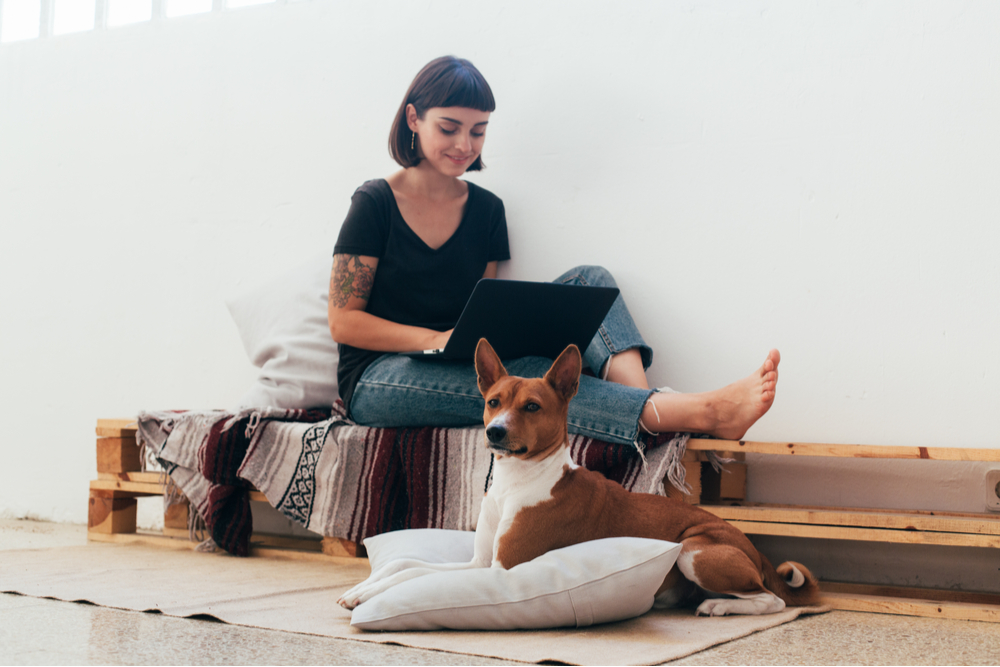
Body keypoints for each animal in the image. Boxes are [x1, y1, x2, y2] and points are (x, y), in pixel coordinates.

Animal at [338, 340, 820, 616]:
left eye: (532, 407)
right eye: (493, 402)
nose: (495, 432)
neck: (517, 481)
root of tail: (753, 549)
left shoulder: (500, 569)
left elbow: (415, 579)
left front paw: (370, 596)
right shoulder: (479, 563)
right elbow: (405, 565)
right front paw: (363, 587)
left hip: (694, 551)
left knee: (773, 600)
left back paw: (718, 606)